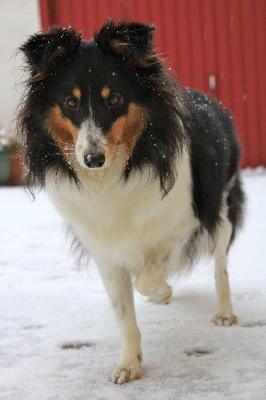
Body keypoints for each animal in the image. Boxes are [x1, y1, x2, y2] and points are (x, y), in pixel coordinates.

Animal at [17, 20, 245, 382]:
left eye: (115, 99)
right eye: (70, 102)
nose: (92, 159)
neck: (115, 174)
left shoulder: (182, 224)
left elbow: (147, 279)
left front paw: (163, 291)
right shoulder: (105, 249)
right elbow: (123, 312)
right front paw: (129, 364)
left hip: (221, 209)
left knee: (221, 267)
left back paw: (224, 312)